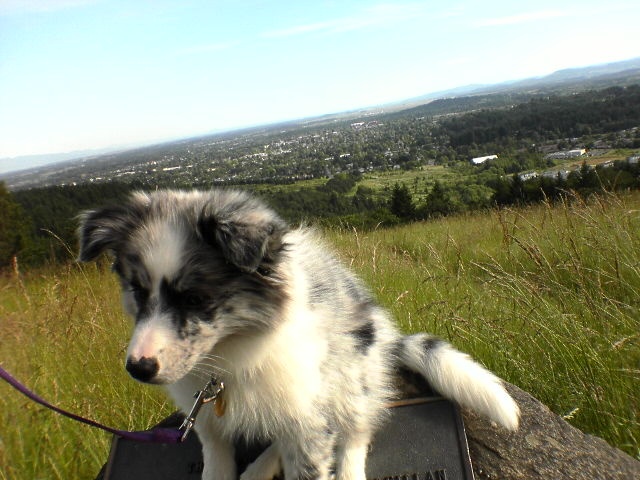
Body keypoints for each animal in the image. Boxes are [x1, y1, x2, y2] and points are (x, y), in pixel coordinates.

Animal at [79, 189, 520, 480]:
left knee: (356, 430)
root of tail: (387, 337)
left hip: (350, 376)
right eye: (138, 291)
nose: (139, 368)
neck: (229, 356)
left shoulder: (306, 408)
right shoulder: (204, 417)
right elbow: (217, 460)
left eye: (195, 298)